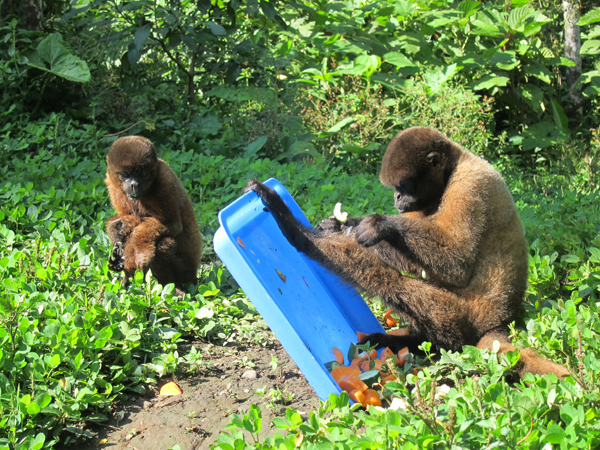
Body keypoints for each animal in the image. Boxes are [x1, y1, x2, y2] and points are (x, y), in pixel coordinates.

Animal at [105, 136, 202, 292]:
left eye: (143, 174)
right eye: (125, 175)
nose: (134, 184)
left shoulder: (164, 179)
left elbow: (172, 224)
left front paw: (140, 254)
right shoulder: (112, 183)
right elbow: (129, 218)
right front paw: (115, 232)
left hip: (186, 272)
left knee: (163, 245)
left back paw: (175, 289)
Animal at [246, 125, 568, 378]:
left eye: (404, 185)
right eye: (396, 189)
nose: (397, 197)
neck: (456, 164)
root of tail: (502, 321)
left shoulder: (470, 183)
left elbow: (458, 263)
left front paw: (372, 226)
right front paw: (343, 225)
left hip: (464, 316)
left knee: (394, 284)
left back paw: (296, 233)